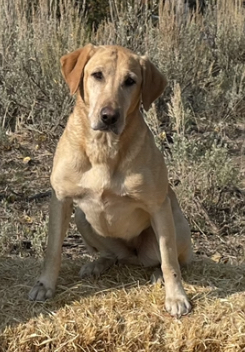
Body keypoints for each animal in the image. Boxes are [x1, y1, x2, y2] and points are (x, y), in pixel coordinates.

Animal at [28, 44, 192, 320]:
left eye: (130, 81)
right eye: (97, 75)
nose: (109, 116)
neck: (103, 148)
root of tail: (131, 256)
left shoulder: (158, 207)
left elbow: (169, 259)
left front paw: (176, 296)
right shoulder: (61, 200)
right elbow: (52, 250)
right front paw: (44, 284)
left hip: (174, 222)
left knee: (169, 259)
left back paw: (157, 274)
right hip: (82, 218)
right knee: (111, 255)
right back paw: (98, 264)